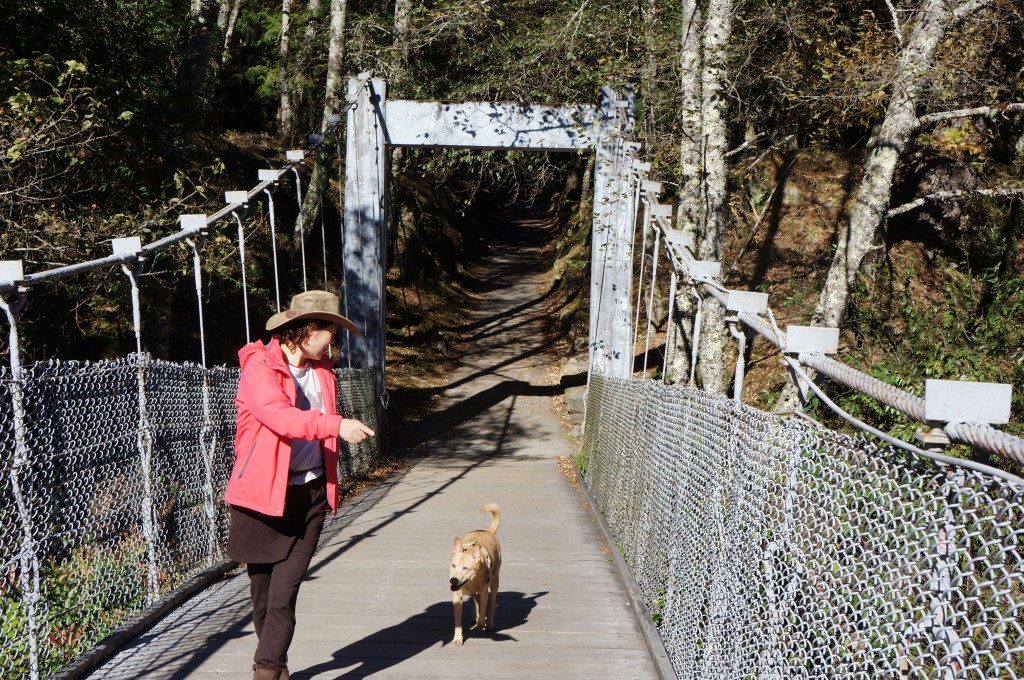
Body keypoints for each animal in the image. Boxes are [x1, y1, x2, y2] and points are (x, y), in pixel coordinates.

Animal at [450, 501, 501, 647]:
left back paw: (488, 623)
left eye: (465, 568)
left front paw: (481, 623)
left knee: (492, 602)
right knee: (475, 601)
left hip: (495, 581)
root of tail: (487, 531)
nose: (453, 580)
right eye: (453, 565)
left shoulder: (484, 593)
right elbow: (458, 621)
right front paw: (458, 638)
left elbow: (483, 610)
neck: (471, 583)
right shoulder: (457, 597)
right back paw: (475, 616)